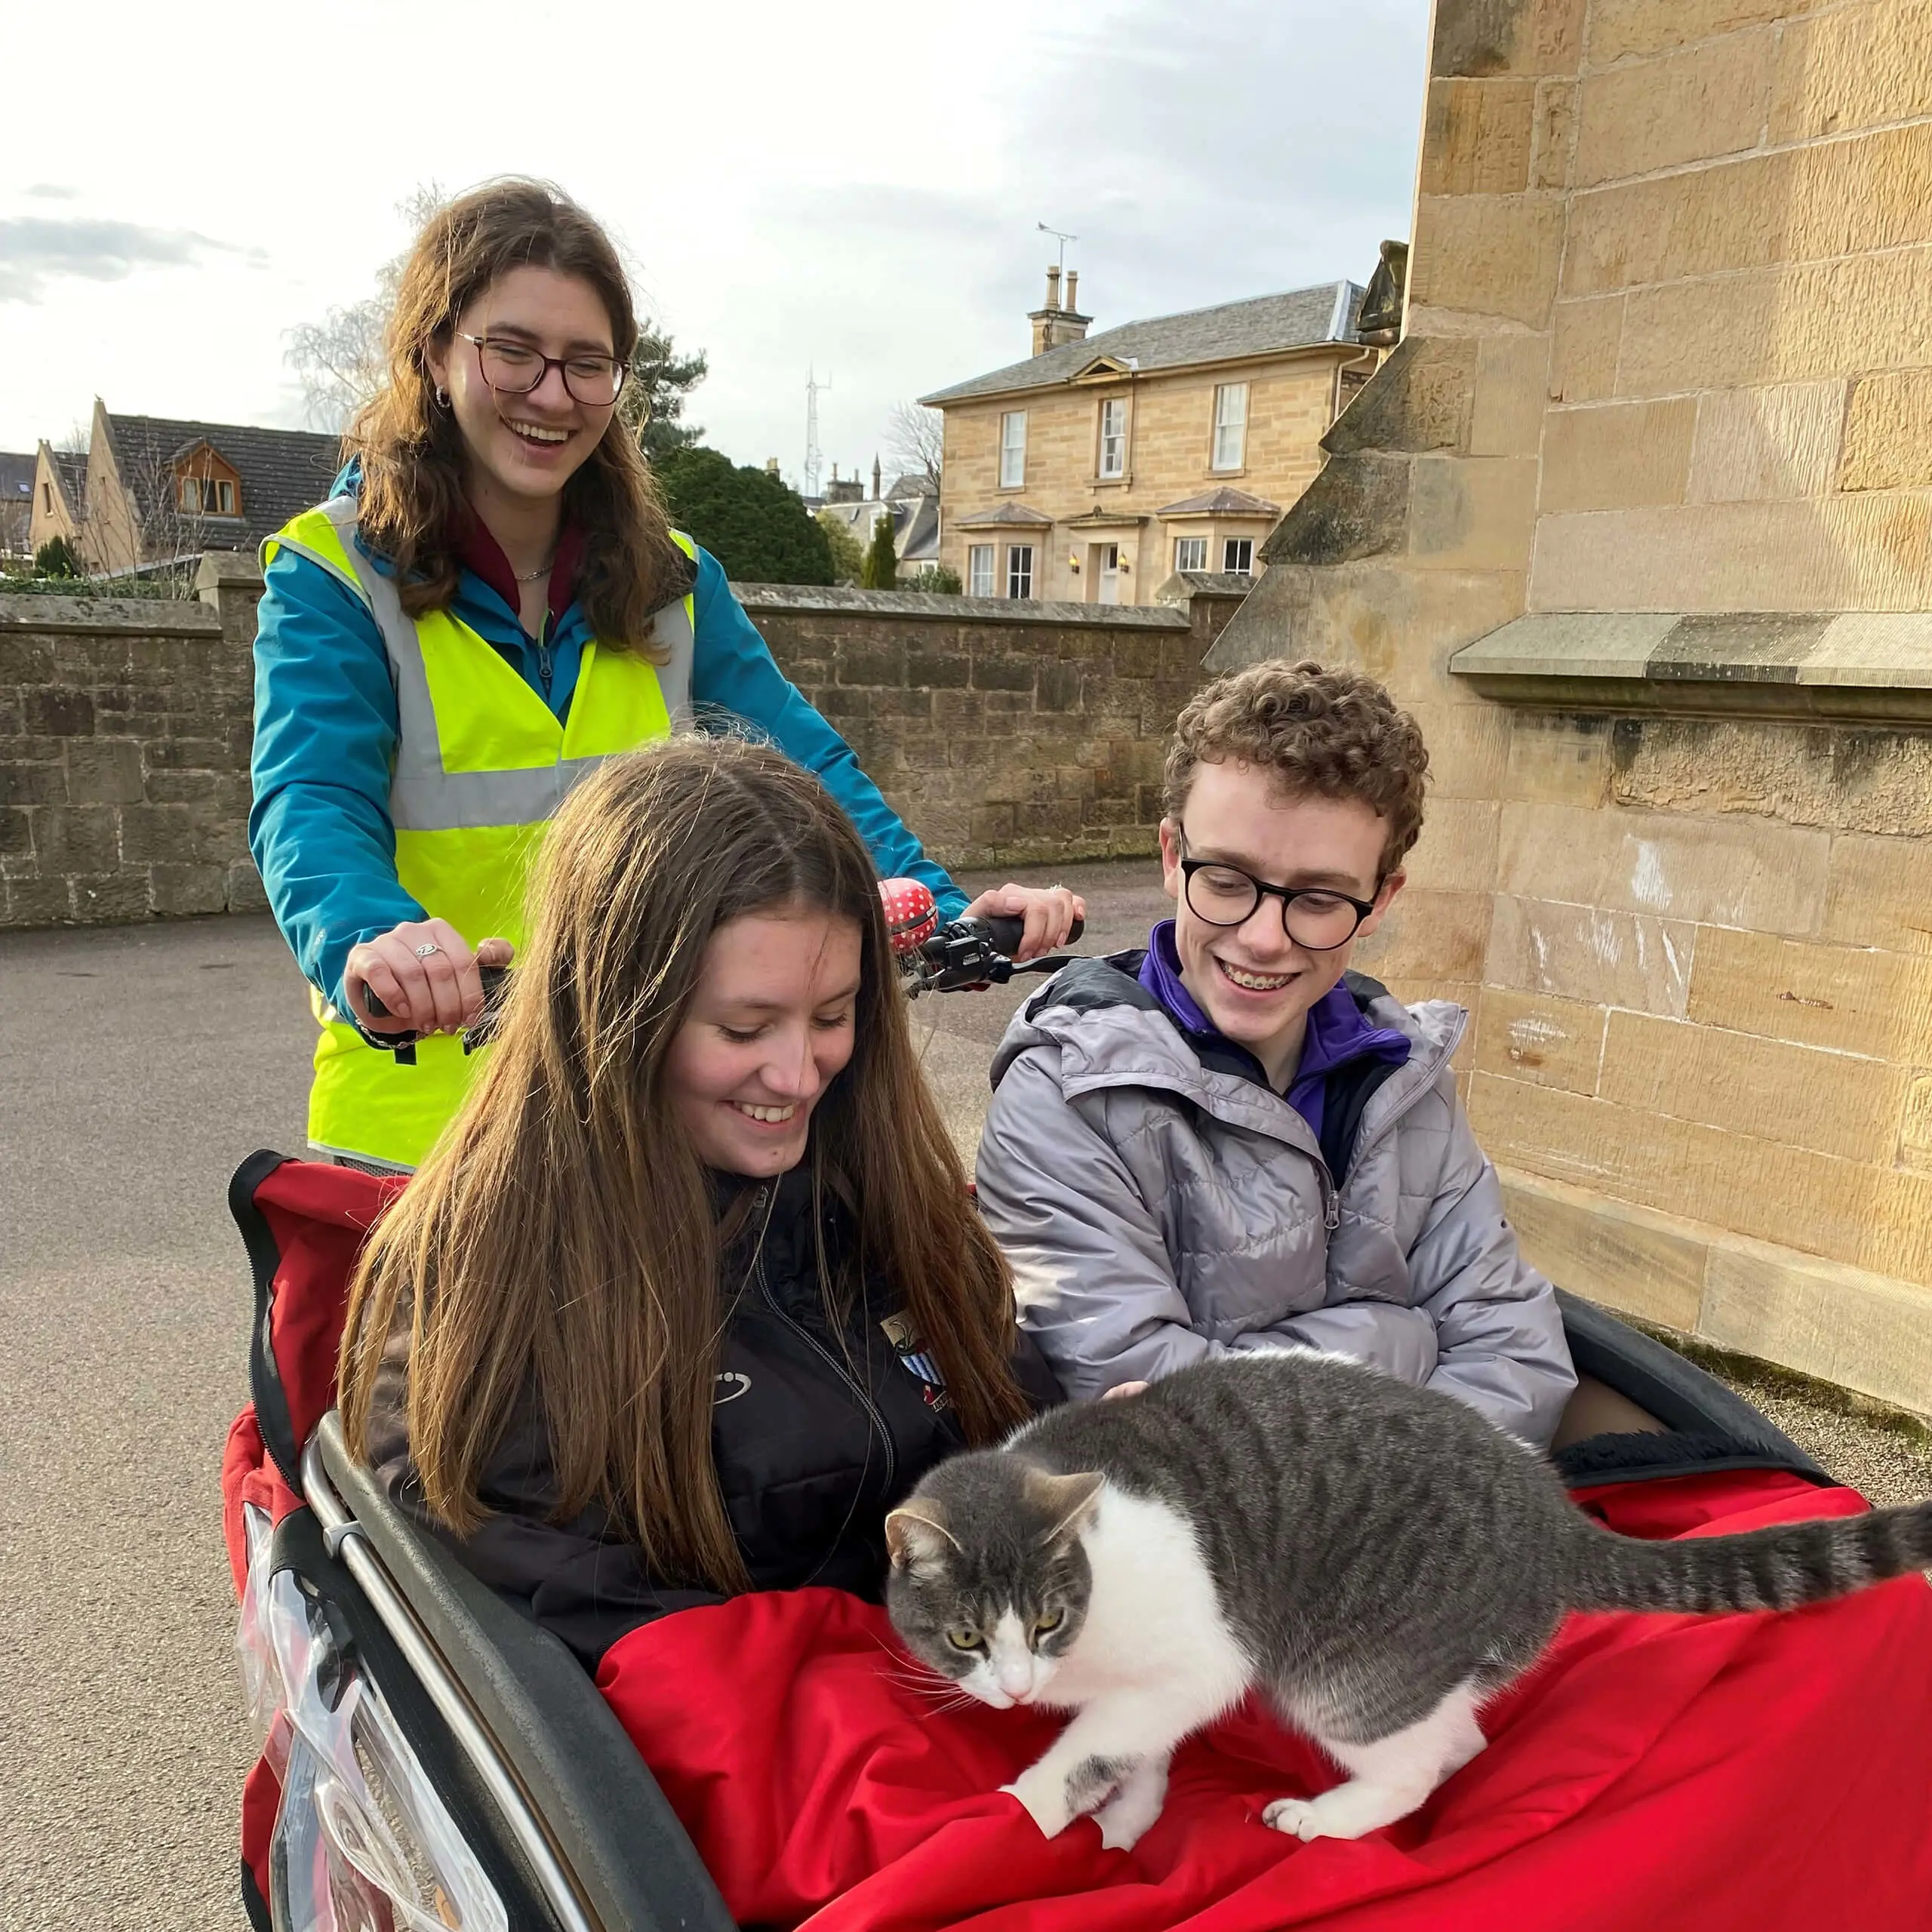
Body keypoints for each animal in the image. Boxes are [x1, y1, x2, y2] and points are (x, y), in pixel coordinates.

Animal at [884, 1352, 1932, 1847]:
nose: (1015, 1688)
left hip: (1346, 1673)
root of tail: (1552, 1516)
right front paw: (1131, 1816)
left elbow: (1091, 1749)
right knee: (1460, 1737)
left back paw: (1326, 1815)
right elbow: (1135, 1748)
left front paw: (1027, 1809)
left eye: (1045, 1621)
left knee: (1421, 1765)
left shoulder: (1199, 1658)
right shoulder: (1152, 1690)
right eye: (966, 1635)